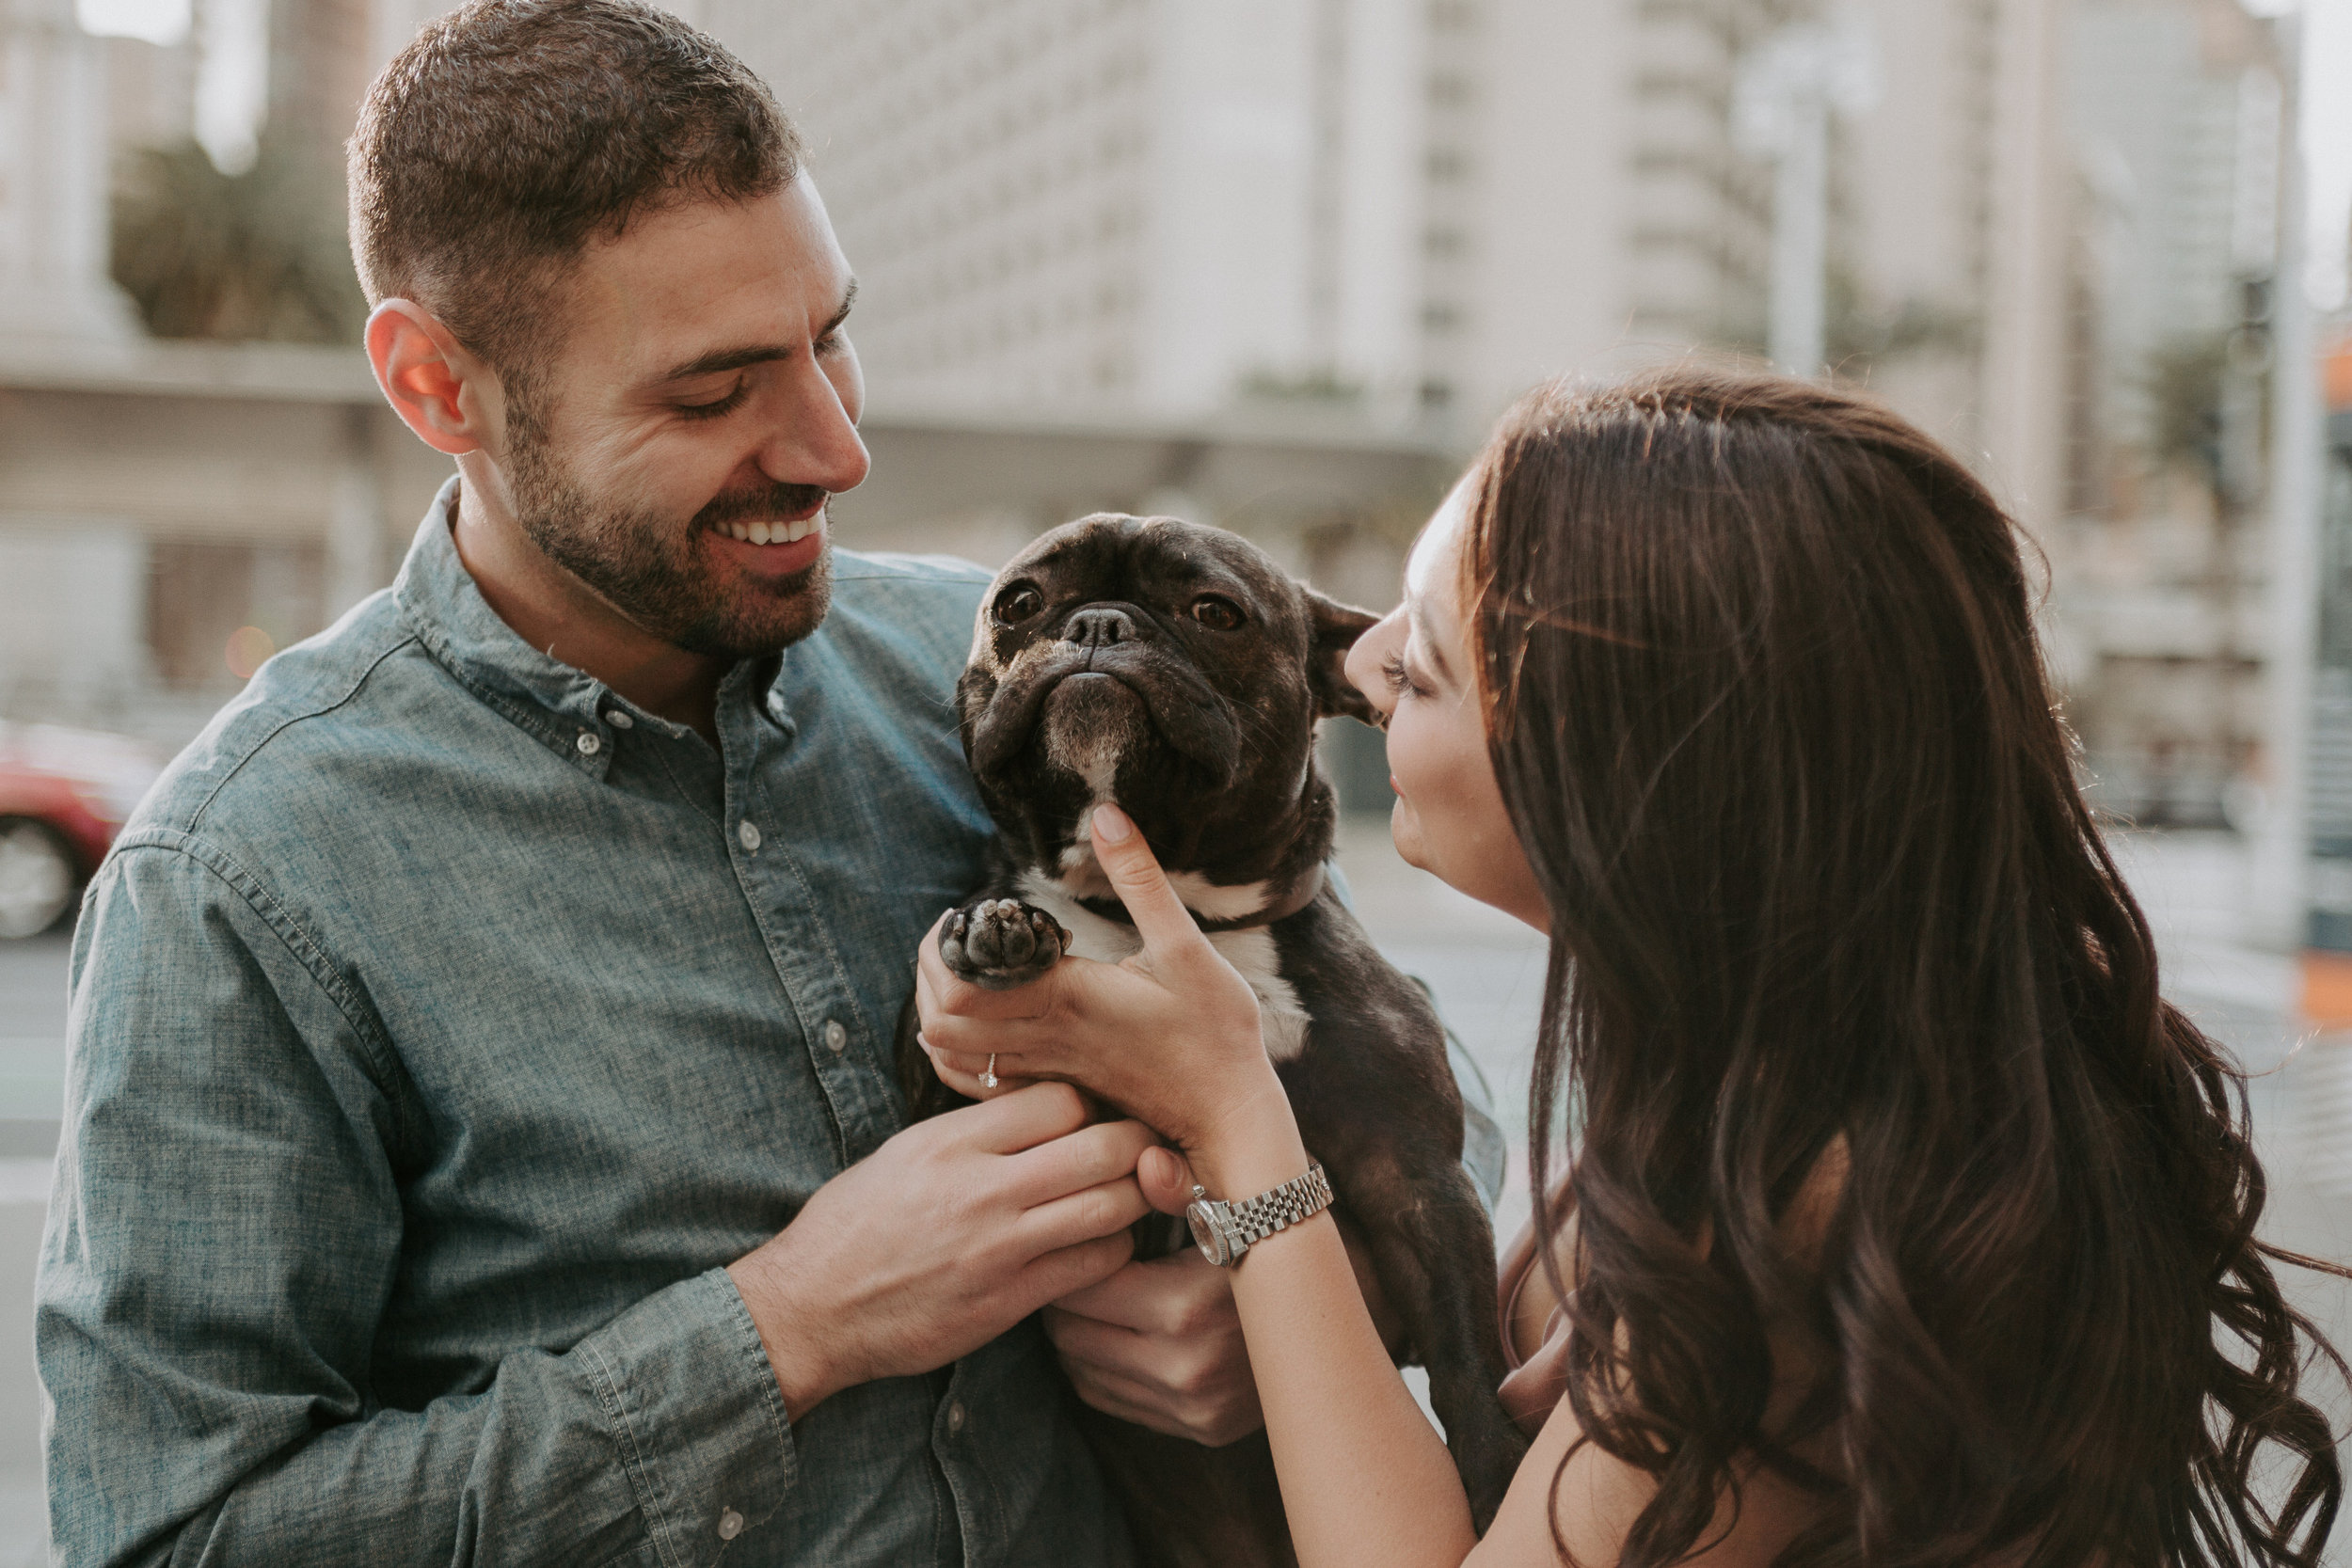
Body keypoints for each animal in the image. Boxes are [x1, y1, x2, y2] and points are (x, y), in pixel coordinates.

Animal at [898, 516, 1524, 1568]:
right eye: (1019, 603)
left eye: (1215, 612)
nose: (1097, 623)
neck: (1166, 911)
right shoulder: (965, 1109)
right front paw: (998, 923)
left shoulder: (1418, 1176)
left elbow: (1470, 1350)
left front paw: (1503, 1476)